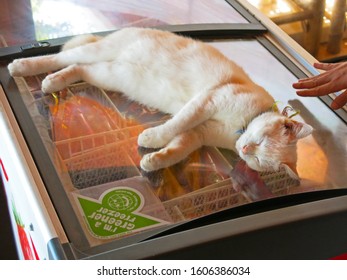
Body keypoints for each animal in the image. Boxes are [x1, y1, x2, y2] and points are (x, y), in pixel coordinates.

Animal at [8, 26, 312, 179]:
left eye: (257, 159)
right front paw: (151, 137)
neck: (239, 129)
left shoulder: (198, 134)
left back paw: (53, 82)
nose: (245, 148)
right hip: (99, 52)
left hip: (111, 74)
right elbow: (175, 124)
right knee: (59, 58)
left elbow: (178, 148)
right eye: (259, 144)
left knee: (78, 68)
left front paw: (153, 160)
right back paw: (23, 66)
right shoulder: (207, 101)